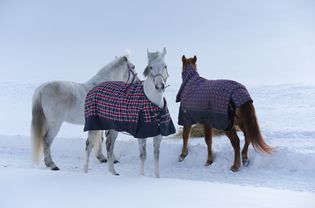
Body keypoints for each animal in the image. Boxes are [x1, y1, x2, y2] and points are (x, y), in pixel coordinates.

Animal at [84, 48, 177, 178]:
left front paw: (157, 177)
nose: (160, 86)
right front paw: (141, 176)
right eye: (151, 67)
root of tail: (93, 89)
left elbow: (156, 155)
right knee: (89, 145)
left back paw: (113, 172)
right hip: (94, 126)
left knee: (109, 145)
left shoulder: (159, 134)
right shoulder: (141, 134)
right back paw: (85, 172)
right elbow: (143, 155)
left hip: (113, 127)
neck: (153, 105)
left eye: (165, 66)